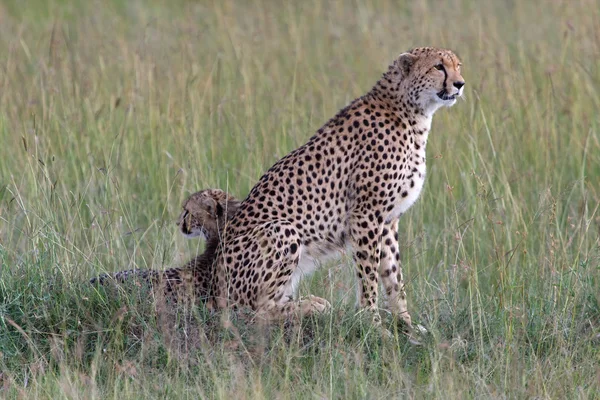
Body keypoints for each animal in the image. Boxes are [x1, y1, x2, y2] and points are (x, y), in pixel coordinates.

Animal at [213, 47, 466, 334]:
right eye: (438, 67)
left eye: (457, 65)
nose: (460, 84)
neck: (411, 112)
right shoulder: (366, 215)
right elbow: (368, 275)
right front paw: (373, 324)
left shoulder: (389, 221)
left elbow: (393, 276)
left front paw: (406, 324)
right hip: (282, 230)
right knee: (254, 312)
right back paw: (312, 306)